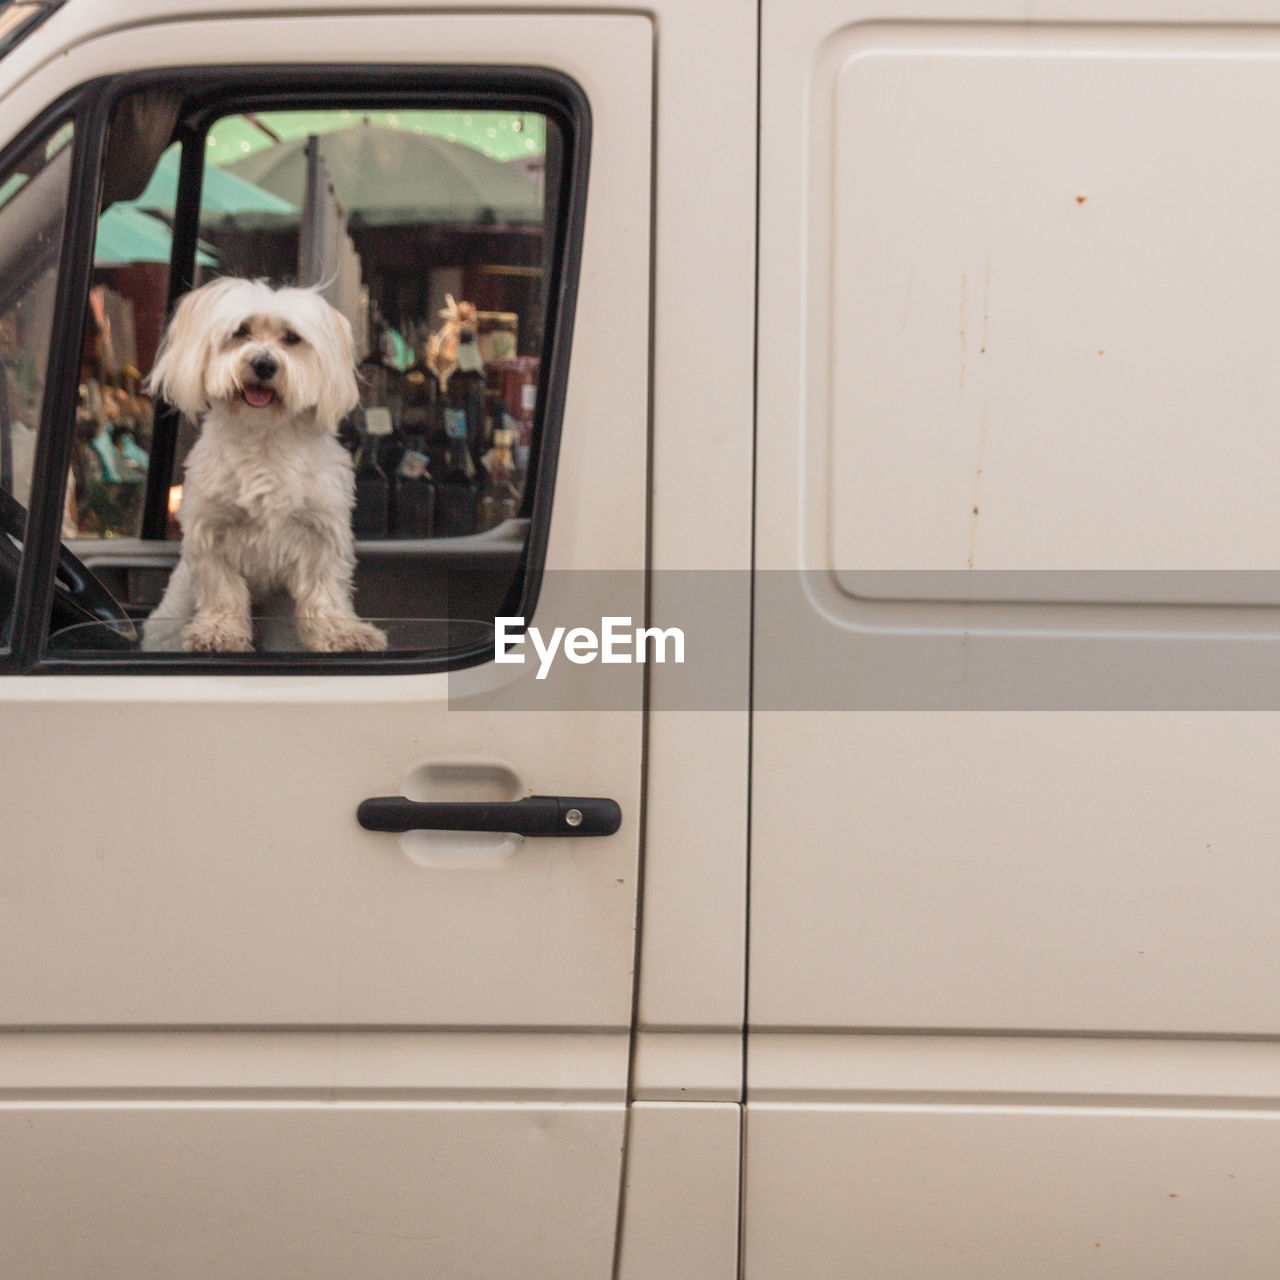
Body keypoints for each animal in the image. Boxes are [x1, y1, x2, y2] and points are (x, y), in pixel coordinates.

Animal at [142, 281, 384, 660]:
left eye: (292, 338)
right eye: (240, 332)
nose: (264, 364)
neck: (264, 435)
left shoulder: (321, 531)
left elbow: (324, 590)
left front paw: (341, 633)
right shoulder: (211, 531)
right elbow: (222, 589)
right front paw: (219, 633)